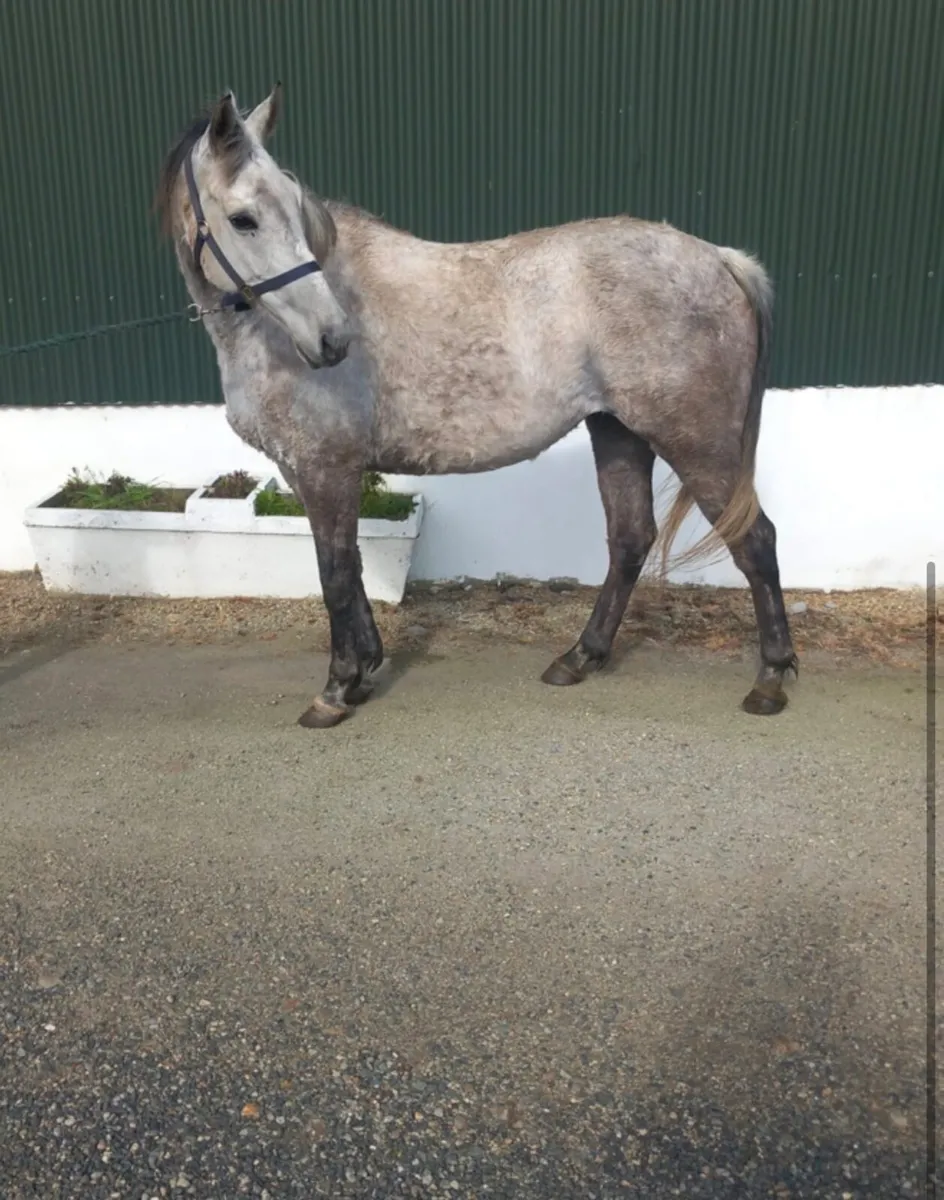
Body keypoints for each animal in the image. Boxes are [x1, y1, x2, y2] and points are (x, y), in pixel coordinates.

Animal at [155, 86, 797, 729]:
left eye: (293, 206)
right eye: (244, 218)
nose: (332, 339)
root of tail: (720, 258)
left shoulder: (324, 468)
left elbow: (334, 575)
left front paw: (336, 689)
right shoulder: (311, 471)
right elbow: (351, 569)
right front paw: (364, 670)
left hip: (695, 442)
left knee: (755, 539)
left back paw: (770, 679)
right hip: (619, 432)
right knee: (630, 540)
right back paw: (580, 657)